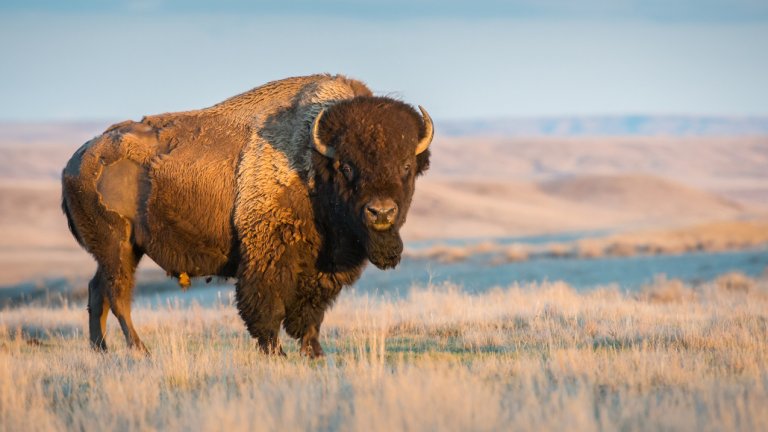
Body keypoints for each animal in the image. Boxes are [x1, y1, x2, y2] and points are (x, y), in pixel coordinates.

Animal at [60, 75, 432, 358]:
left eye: (406, 166)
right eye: (346, 166)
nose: (381, 212)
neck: (313, 161)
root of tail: (75, 162)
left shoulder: (322, 269)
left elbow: (311, 312)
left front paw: (314, 353)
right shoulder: (267, 255)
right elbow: (267, 306)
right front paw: (276, 353)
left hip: (121, 251)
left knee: (97, 291)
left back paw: (101, 350)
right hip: (118, 246)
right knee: (118, 295)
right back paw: (140, 350)